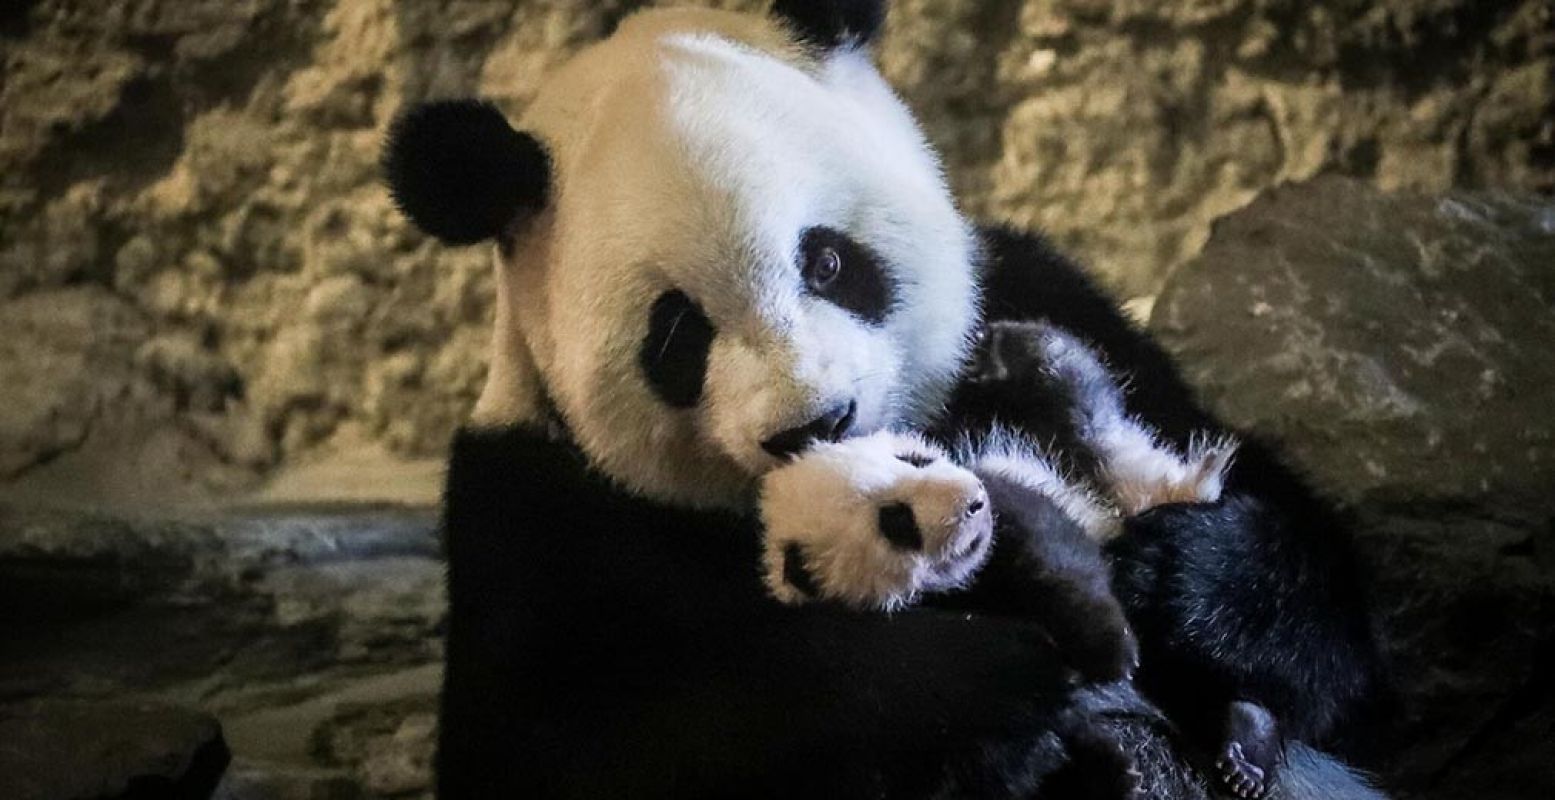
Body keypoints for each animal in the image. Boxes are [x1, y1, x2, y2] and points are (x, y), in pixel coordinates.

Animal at [382, 3, 1393, 793]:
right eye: (677, 337)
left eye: (828, 262)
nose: (815, 423)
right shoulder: (529, 503)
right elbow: (564, 742)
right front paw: (986, 684)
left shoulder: (1049, 294)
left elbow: (1340, 640)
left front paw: (1170, 574)